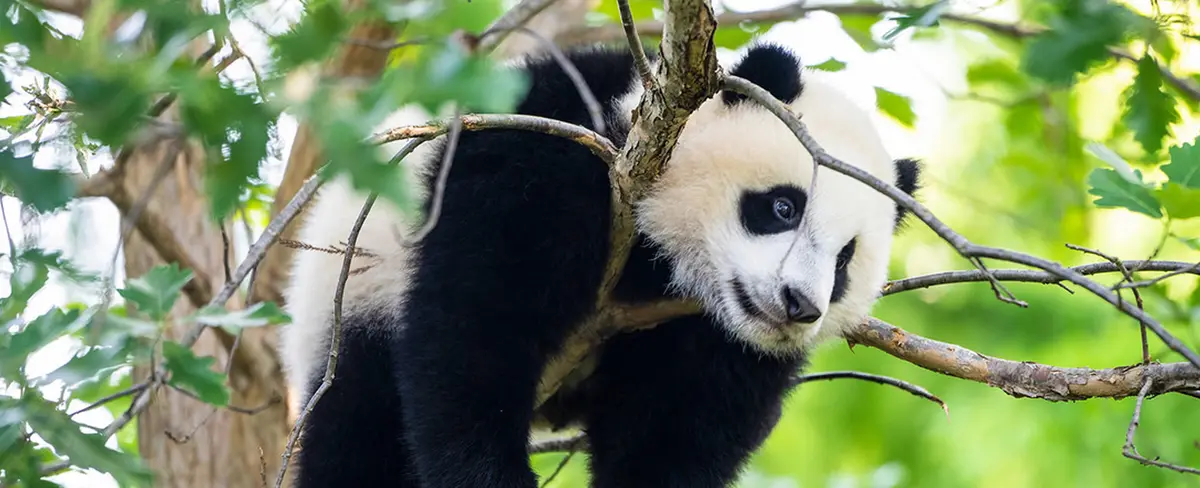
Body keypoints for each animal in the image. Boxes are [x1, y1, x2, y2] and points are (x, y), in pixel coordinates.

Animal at [279, 42, 921, 488]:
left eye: (845, 260)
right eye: (784, 206)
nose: (799, 305)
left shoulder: (713, 340)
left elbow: (678, 425)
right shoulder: (546, 159)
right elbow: (475, 328)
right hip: (352, 306)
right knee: (356, 431)